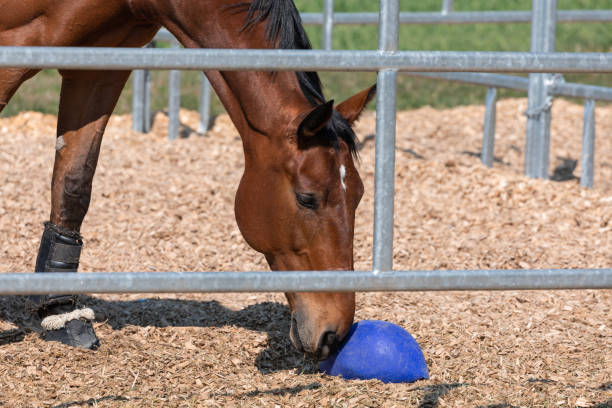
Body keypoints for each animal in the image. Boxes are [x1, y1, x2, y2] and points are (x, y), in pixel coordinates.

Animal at [0, 0, 376, 356]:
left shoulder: (98, 69)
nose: (334, 333)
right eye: (306, 198)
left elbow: (74, 182)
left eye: (358, 196)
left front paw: (61, 315)